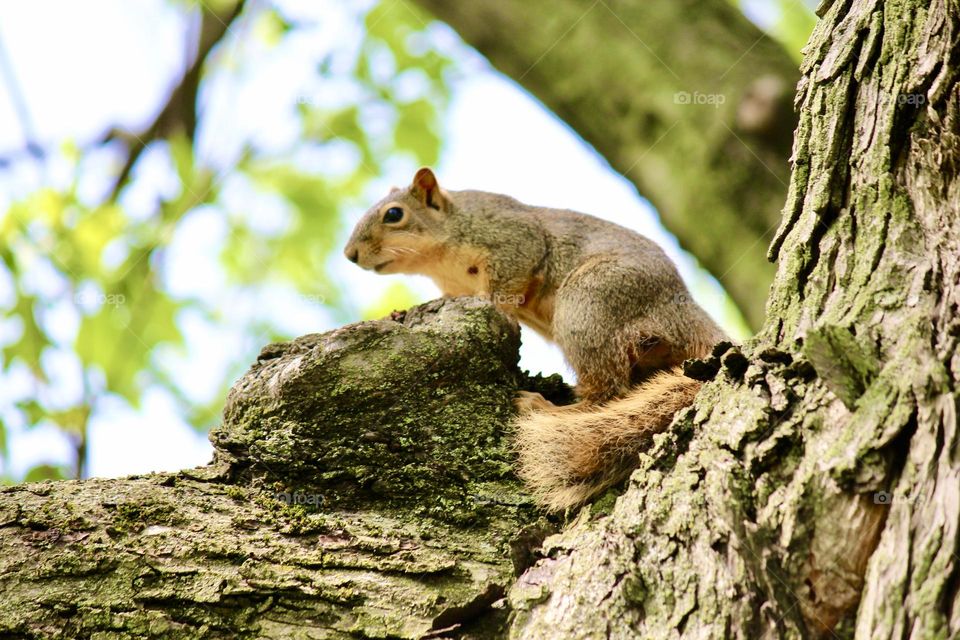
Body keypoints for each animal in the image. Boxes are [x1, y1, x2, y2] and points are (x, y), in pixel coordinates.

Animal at [344, 168, 727, 511]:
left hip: (589, 303)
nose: (350, 255)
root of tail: (688, 315)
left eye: (394, 214)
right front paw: (401, 312)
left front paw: (488, 301)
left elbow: (506, 281)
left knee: (608, 390)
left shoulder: (513, 238)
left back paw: (543, 407)